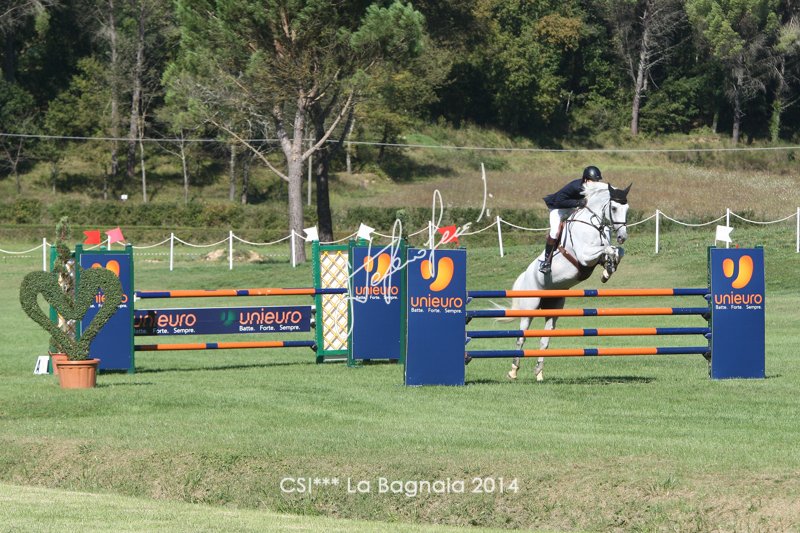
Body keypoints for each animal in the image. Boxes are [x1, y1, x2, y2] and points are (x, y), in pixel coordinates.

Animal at [506, 180, 631, 381]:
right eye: (614, 208)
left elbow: (615, 251)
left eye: (627, 208)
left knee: (544, 339)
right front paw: (609, 268)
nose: (622, 237)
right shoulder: (585, 256)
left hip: (553, 308)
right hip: (530, 306)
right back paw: (513, 371)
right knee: (521, 337)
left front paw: (608, 270)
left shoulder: (597, 255)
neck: (594, 223)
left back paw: (539, 372)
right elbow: (609, 249)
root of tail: (525, 275)